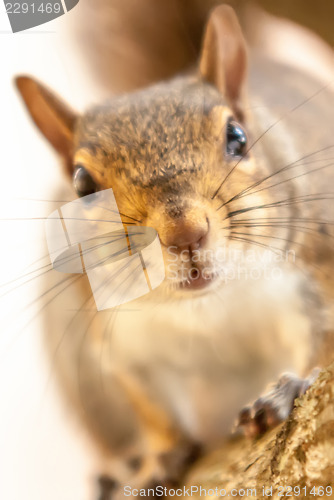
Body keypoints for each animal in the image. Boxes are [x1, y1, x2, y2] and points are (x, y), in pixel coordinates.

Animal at [14, 1, 332, 498]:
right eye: (81, 183)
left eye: (238, 136)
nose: (184, 234)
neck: (206, 309)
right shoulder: (120, 345)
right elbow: (152, 410)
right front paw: (159, 456)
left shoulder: (314, 270)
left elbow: (322, 342)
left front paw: (289, 386)